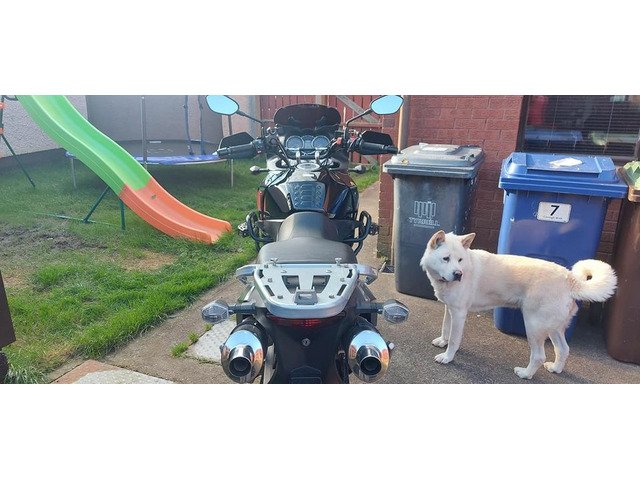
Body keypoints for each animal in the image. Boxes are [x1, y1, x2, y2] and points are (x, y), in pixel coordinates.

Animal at [419, 230, 617, 379]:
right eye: (446, 258)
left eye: (460, 260)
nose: (458, 274)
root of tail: (570, 279)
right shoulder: (450, 309)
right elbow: (446, 328)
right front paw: (442, 342)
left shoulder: (459, 313)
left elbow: (454, 339)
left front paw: (447, 357)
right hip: (553, 329)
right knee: (563, 349)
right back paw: (555, 368)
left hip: (533, 325)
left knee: (538, 356)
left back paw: (525, 374)